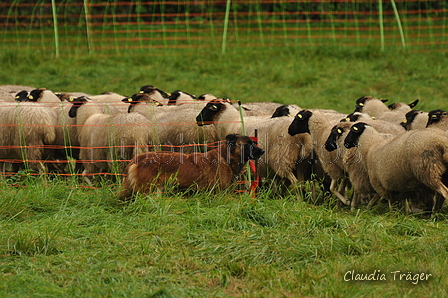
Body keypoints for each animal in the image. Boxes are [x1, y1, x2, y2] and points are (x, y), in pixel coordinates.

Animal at [120, 134, 266, 199]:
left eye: (253, 143)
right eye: (248, 144)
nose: (263, 151)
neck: (226, 158)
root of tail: (137, 158)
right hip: (147, 191)